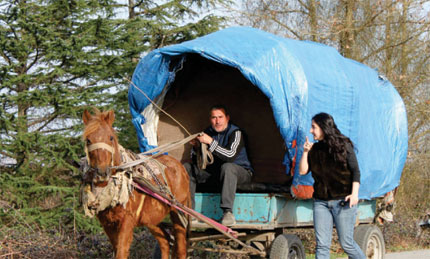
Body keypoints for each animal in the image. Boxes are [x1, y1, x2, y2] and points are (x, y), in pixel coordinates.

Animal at [81, 108, 191, 258]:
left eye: (111, 138)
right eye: (88, 140)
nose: (102, 172)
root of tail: (180, 166)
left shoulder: (127, 220)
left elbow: (121, 252)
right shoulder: (108, 224)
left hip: (178, 213)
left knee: (181, 248)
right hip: (151, 218)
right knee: (164, 241)